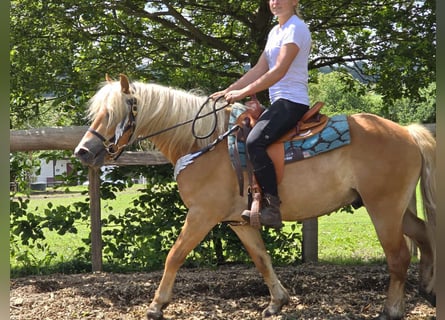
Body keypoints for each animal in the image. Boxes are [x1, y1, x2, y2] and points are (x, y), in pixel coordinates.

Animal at [74, 74, 436, 320]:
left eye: (111, 113)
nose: (82, 152)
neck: (202, 145)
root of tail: (406, 132)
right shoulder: (239, 221)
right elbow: (261, 258)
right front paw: (277, 301)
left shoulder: (201, 215)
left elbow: (174, 256)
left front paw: (156, 305)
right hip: (393, 208)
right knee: (423, 235)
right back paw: (429, 288)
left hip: (383, 208)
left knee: (399, 256)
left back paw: (392, 309)